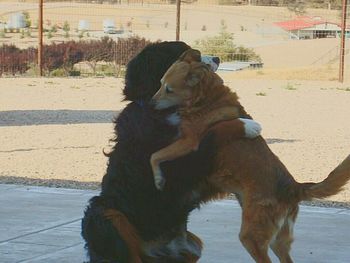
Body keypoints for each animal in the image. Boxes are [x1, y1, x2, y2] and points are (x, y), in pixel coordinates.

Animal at [150, 49, 260, 190]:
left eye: (169, 90)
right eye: (160, 83)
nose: (150, 104)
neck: (203, 100)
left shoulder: (190, 140)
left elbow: (154, 155)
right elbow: (154, 155)